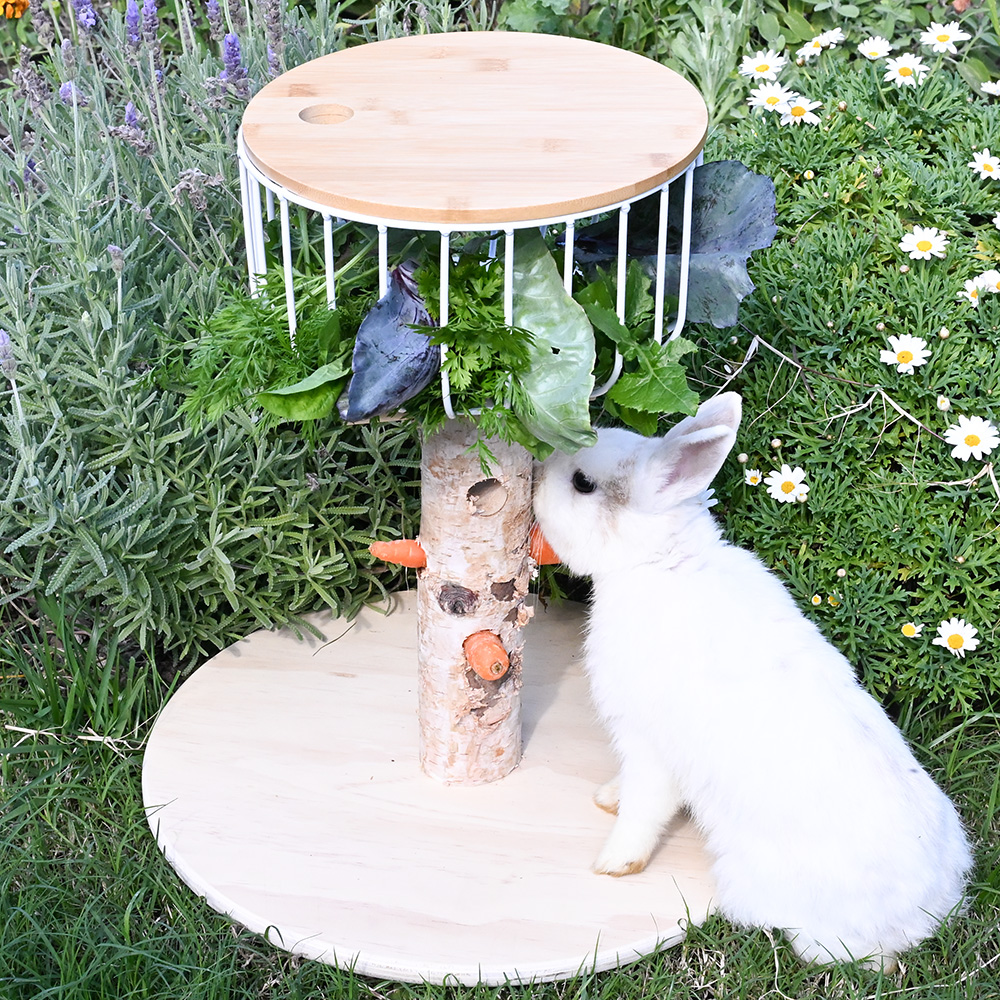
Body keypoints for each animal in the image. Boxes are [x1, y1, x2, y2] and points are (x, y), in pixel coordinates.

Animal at [532, 391, 972, 969]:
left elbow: (645, 809)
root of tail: (929, 913)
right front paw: (608, 797)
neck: (656, 563)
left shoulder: (651, 746)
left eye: (582, 483)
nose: (535, 472)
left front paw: (614, 864)